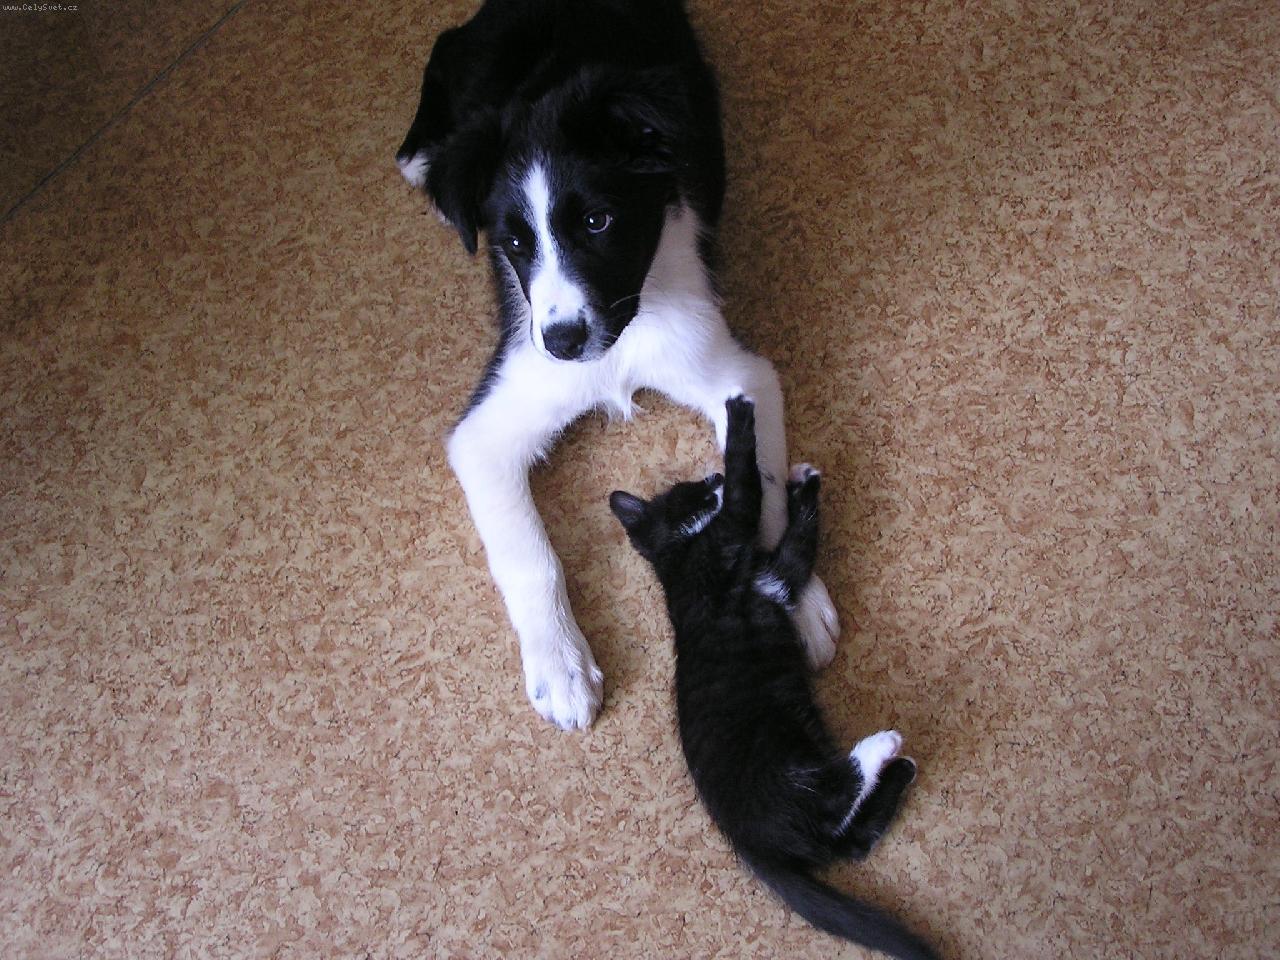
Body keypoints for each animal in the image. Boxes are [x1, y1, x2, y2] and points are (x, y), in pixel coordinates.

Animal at [397, 0, 840, 729]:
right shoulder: (487, 429)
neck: (622, 333)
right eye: (514, 243)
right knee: (446, 44)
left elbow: (767, 483)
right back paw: (423, 163)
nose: (563, 342)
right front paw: (561, 668)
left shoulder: (736, 372)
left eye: (599, 222)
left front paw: (796, 599)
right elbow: (528, 553)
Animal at [609, 395, 939, 960]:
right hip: (778, 776)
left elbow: (799, 542)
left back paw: (898, 769)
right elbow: (748, 496)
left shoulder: (777, 577)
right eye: (693, 487)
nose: (713, 475)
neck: (681, 557)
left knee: (848, 840)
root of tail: (750, 845)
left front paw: (803, 483)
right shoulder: (727, 547)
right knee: (831, 798)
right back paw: (882, 746)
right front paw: (739, 416)